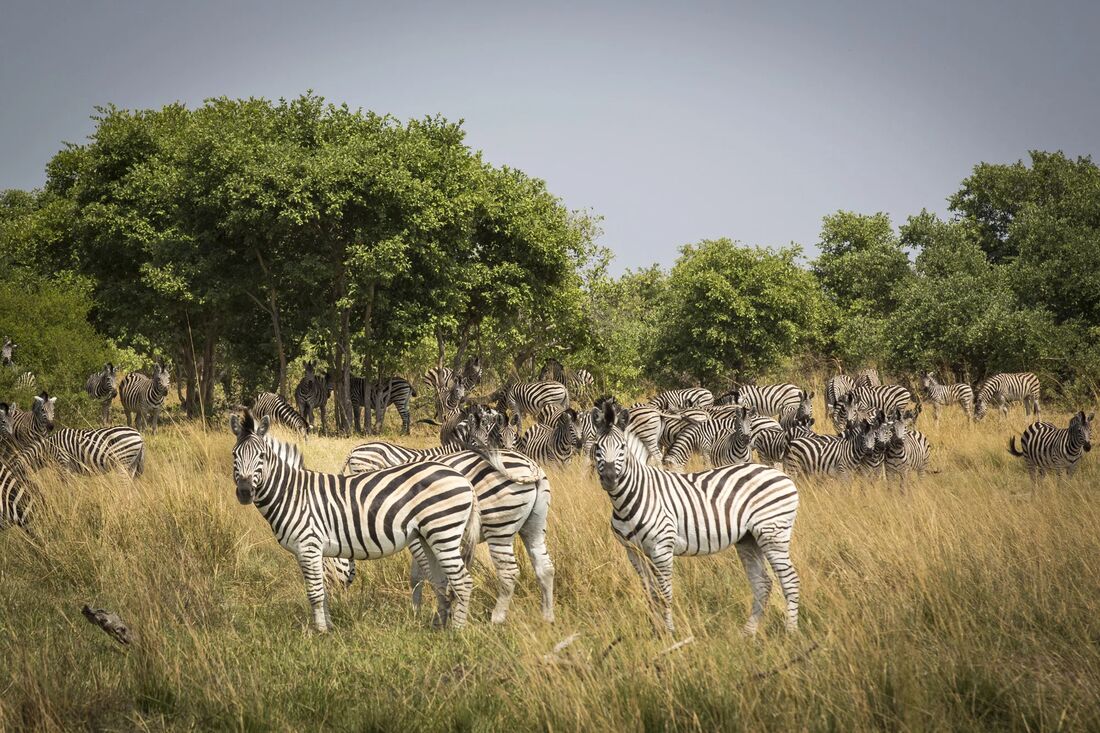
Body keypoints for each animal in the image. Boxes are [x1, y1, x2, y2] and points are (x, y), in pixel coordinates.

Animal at [230, 410, 480, 631]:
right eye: (234, 455)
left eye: (262, 456)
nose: (244, 492)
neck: (293, 494)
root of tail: (464, 480)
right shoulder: (310, 551)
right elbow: (323, 590)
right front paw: (329, 626)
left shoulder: (309, 545)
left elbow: (315, 592)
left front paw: (320, 631)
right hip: (429, 537)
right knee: (441, 581)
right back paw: (438, 626)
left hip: (444, 532)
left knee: (463, 582)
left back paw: (456, 631)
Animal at [590, 401, 801, 635]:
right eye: (597, 448)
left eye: (622, 448)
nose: (610, 478)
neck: (632, 497)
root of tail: (782, 476)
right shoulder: (633, 552)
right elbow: (650, 592)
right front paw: (656, 631)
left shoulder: (662, 548)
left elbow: (665, 593)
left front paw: (669, 633)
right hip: (749, 539)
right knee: (763, 583)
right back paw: (748, 632)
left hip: (773, 533)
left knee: (790, 580)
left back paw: (790, 631)